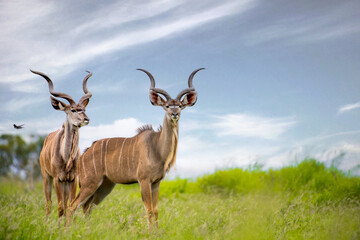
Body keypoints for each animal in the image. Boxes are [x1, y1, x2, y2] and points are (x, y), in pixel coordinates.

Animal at [30, 70, 93, 219]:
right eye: (73, 110)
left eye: (84, 109)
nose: (86, 119)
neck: (66, 159)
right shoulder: (57, 179)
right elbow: (60, 208)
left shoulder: (72, 179)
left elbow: (70, 205)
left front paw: (69, 225)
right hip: (46, 177)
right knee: (48, 202)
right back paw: (47, 221)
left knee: (64, 203)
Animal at [69, 67, 204, 227]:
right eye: (166, 106)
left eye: (181, 106)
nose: (175, 114)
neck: (157, 147)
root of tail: (83, 155)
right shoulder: (144, 180)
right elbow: (149, 210)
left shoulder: (156, 182)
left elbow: (156, 210)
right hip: (90, 183)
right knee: (73, 206)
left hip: (105, 185)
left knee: (87, 206)